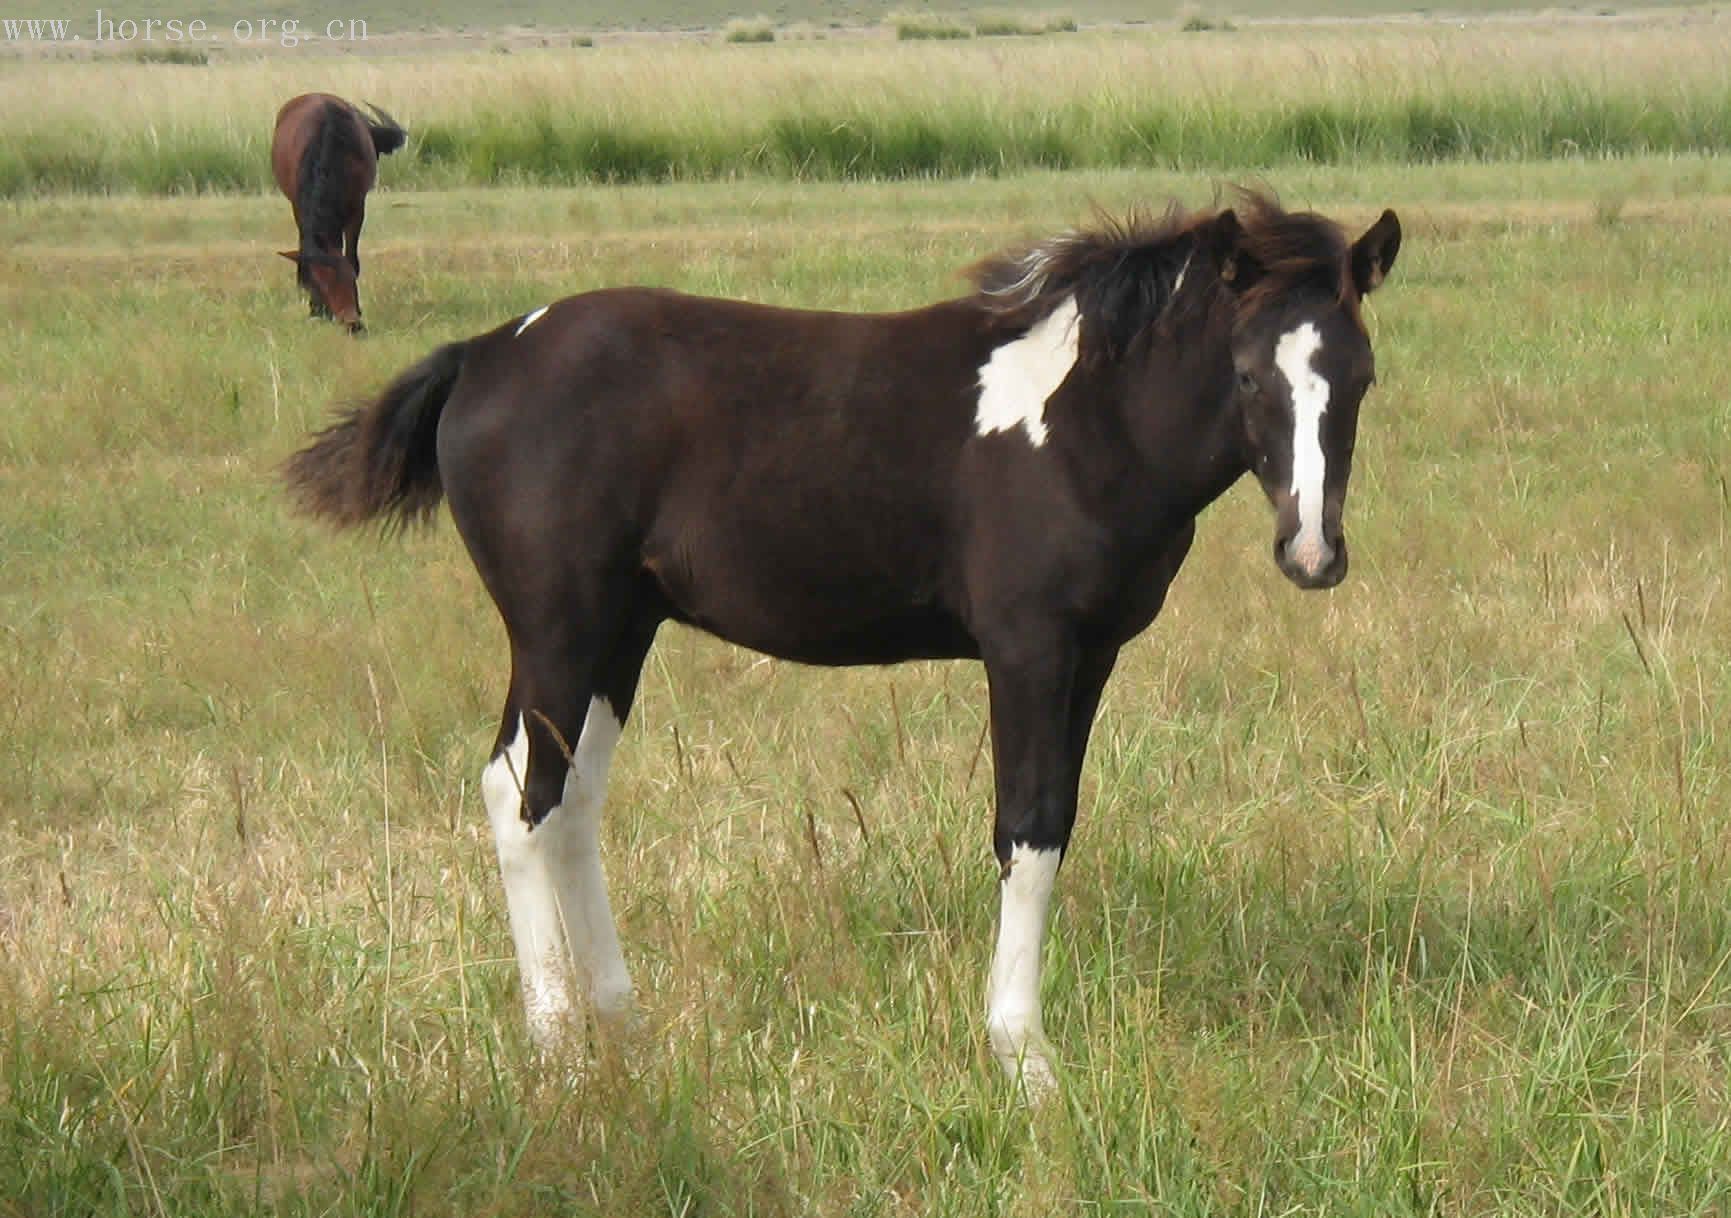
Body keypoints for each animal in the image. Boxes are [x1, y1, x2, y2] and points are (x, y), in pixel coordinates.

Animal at [268, 91, 403, 332]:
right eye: (318, 284)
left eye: (349, 278)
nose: (352, 323)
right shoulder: (299, 206)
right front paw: (315, 309)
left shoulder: (357, 208)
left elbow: (351, 256)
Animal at [280, 192, 1391, 1093]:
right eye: (1245, 375)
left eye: (1363, 377)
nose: (1311, 551)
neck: (1082, 417)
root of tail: (485, 352)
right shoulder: (1028, 646)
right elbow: (1025, 829)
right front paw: (1022, 1057)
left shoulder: (1093, 655)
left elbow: (1059, 825)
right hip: (557, 625)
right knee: (522, 796)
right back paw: (556, 1054)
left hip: (618, 632)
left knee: (572, 801)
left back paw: (624, 1026)